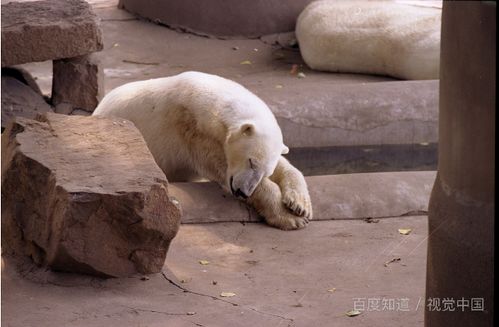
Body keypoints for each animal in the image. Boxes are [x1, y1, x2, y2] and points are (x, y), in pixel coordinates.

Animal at [94, 72, 312, 231]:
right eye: (251, 162)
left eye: (265, 171)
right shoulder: (191, 127)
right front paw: (290, 218)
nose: (242, 192)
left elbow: (286, 167)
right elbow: (218, 164)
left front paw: (300, 205)